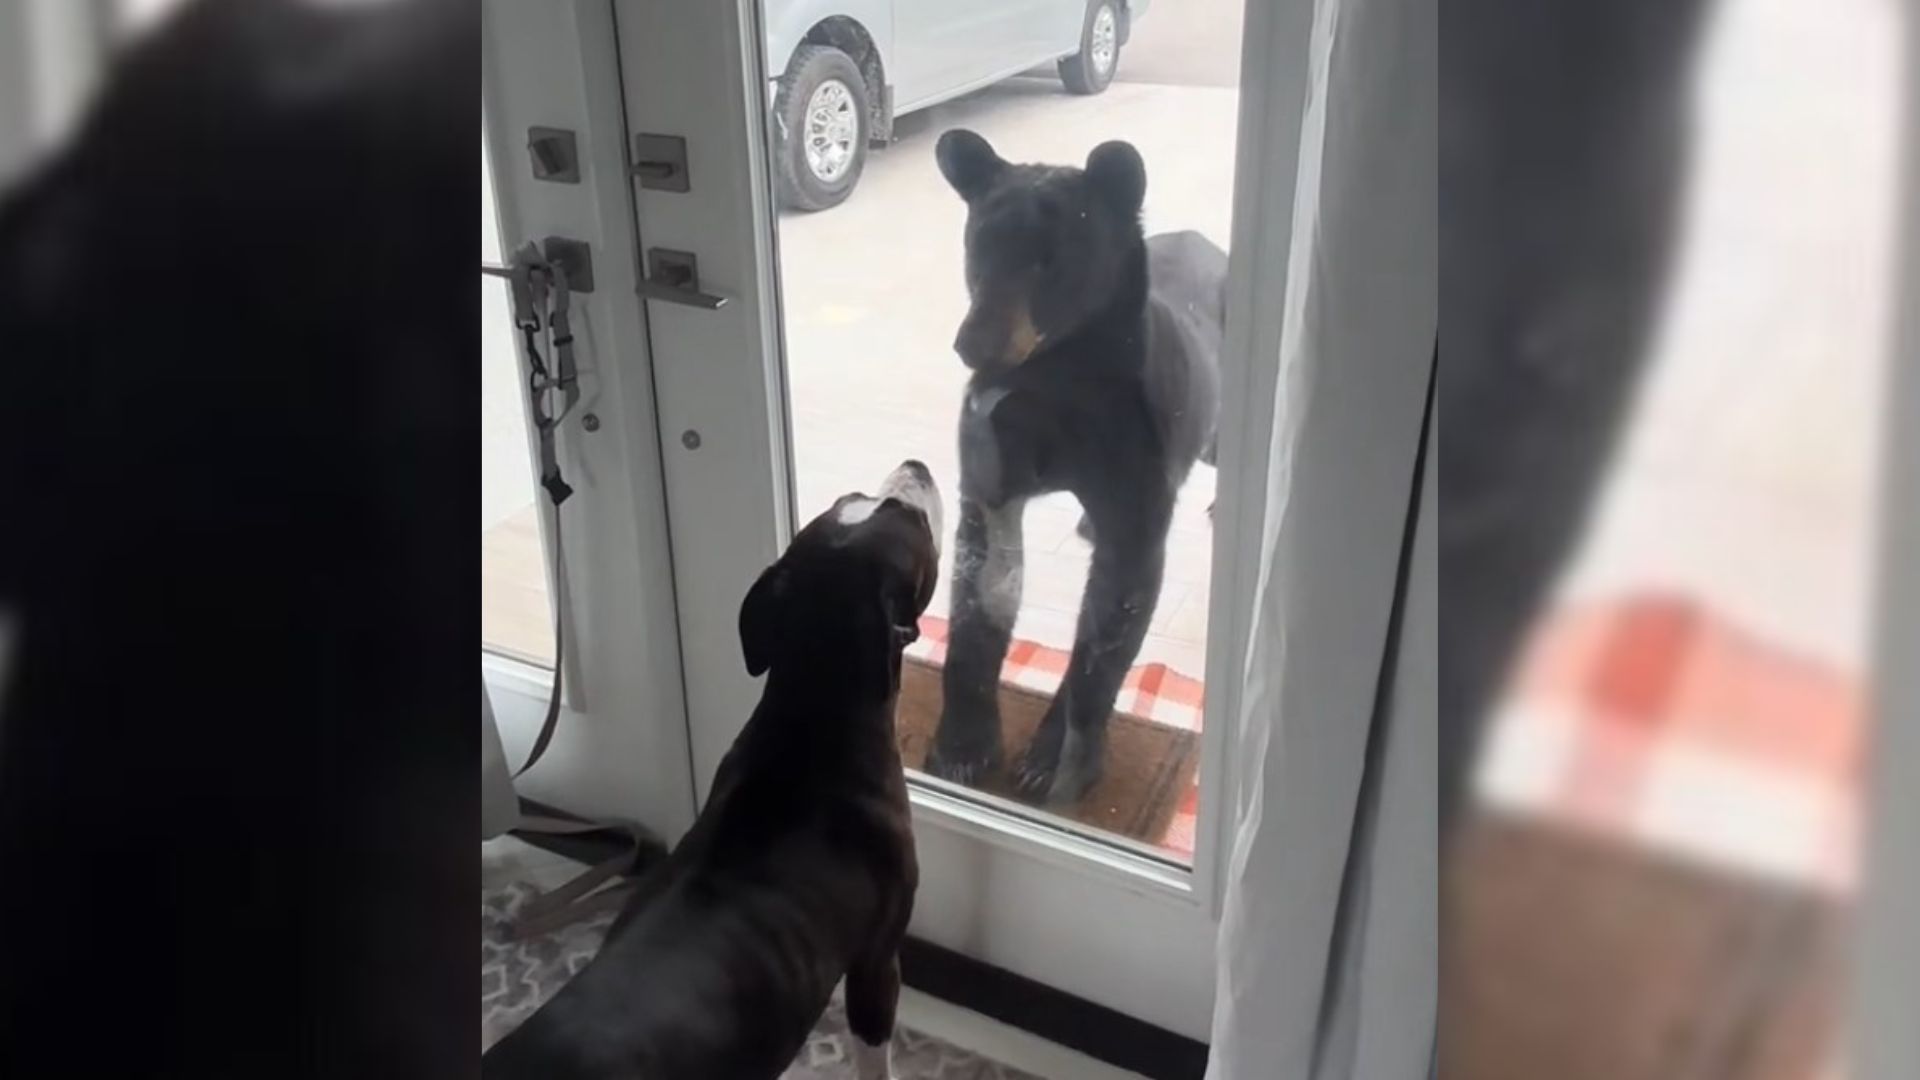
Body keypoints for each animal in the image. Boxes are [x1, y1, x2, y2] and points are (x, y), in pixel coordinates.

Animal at [921, 127, 1221, 799]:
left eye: (1049, 258)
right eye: (978, 246)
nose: (973, 343)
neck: (1054, 380)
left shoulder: (1134, 495)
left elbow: (1108, 630)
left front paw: (1054, 759)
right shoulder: (991, 469)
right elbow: (979, 595)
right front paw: (961, 747)